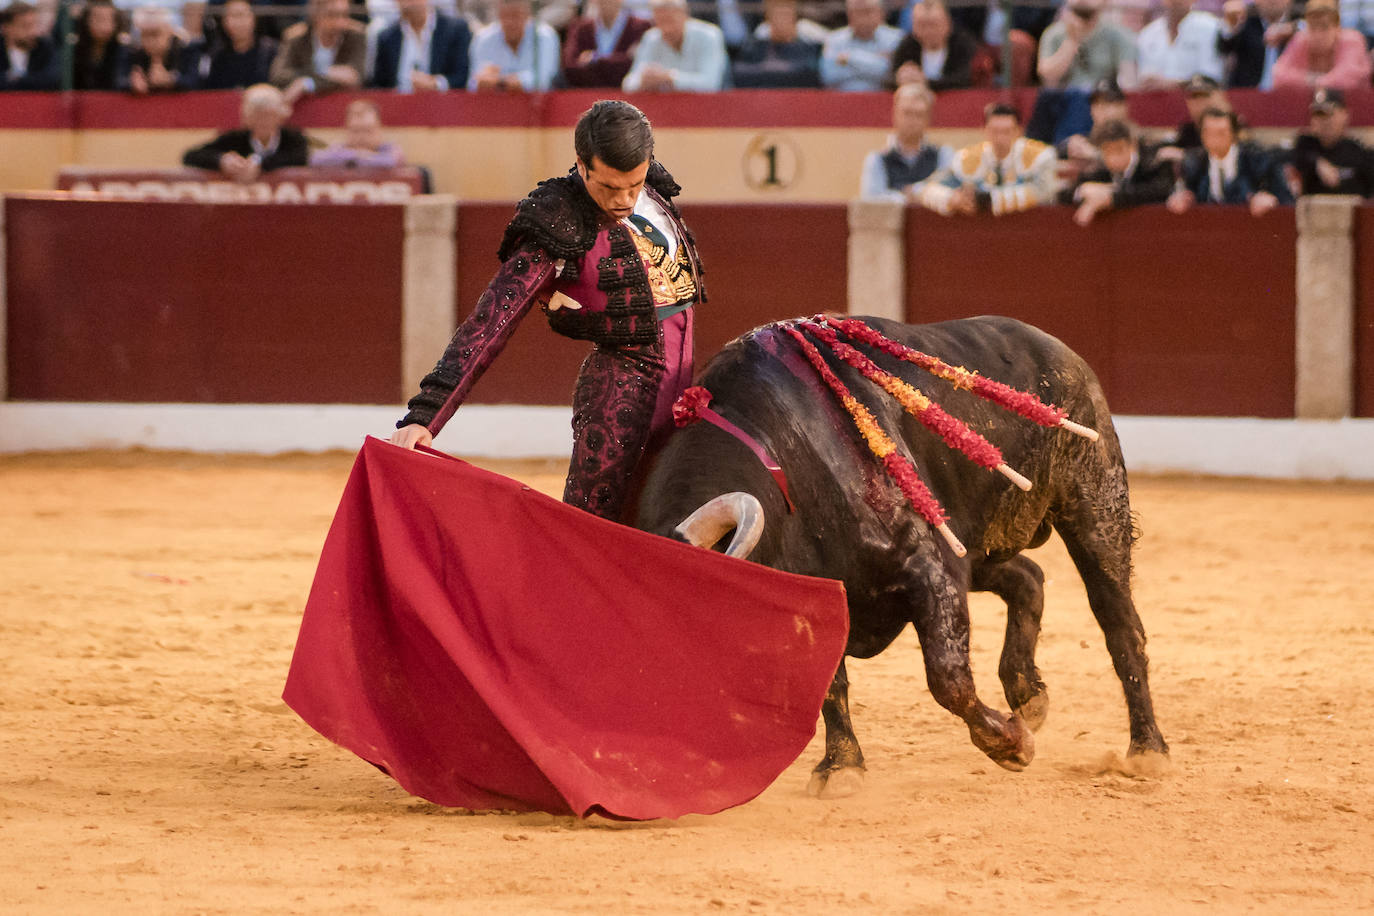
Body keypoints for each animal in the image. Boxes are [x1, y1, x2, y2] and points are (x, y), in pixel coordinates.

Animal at [632, 313, 1170, 796]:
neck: (783, 462)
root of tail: (1062, 351)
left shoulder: (930, 566)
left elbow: (948, 677)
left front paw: (1013, 746)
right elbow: (830, 682)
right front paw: (842, 768)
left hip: (1095, 501)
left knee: (1119, 622)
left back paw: (1146, 751)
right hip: (978, 545)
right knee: (1029, 578)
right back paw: (1028, 696)